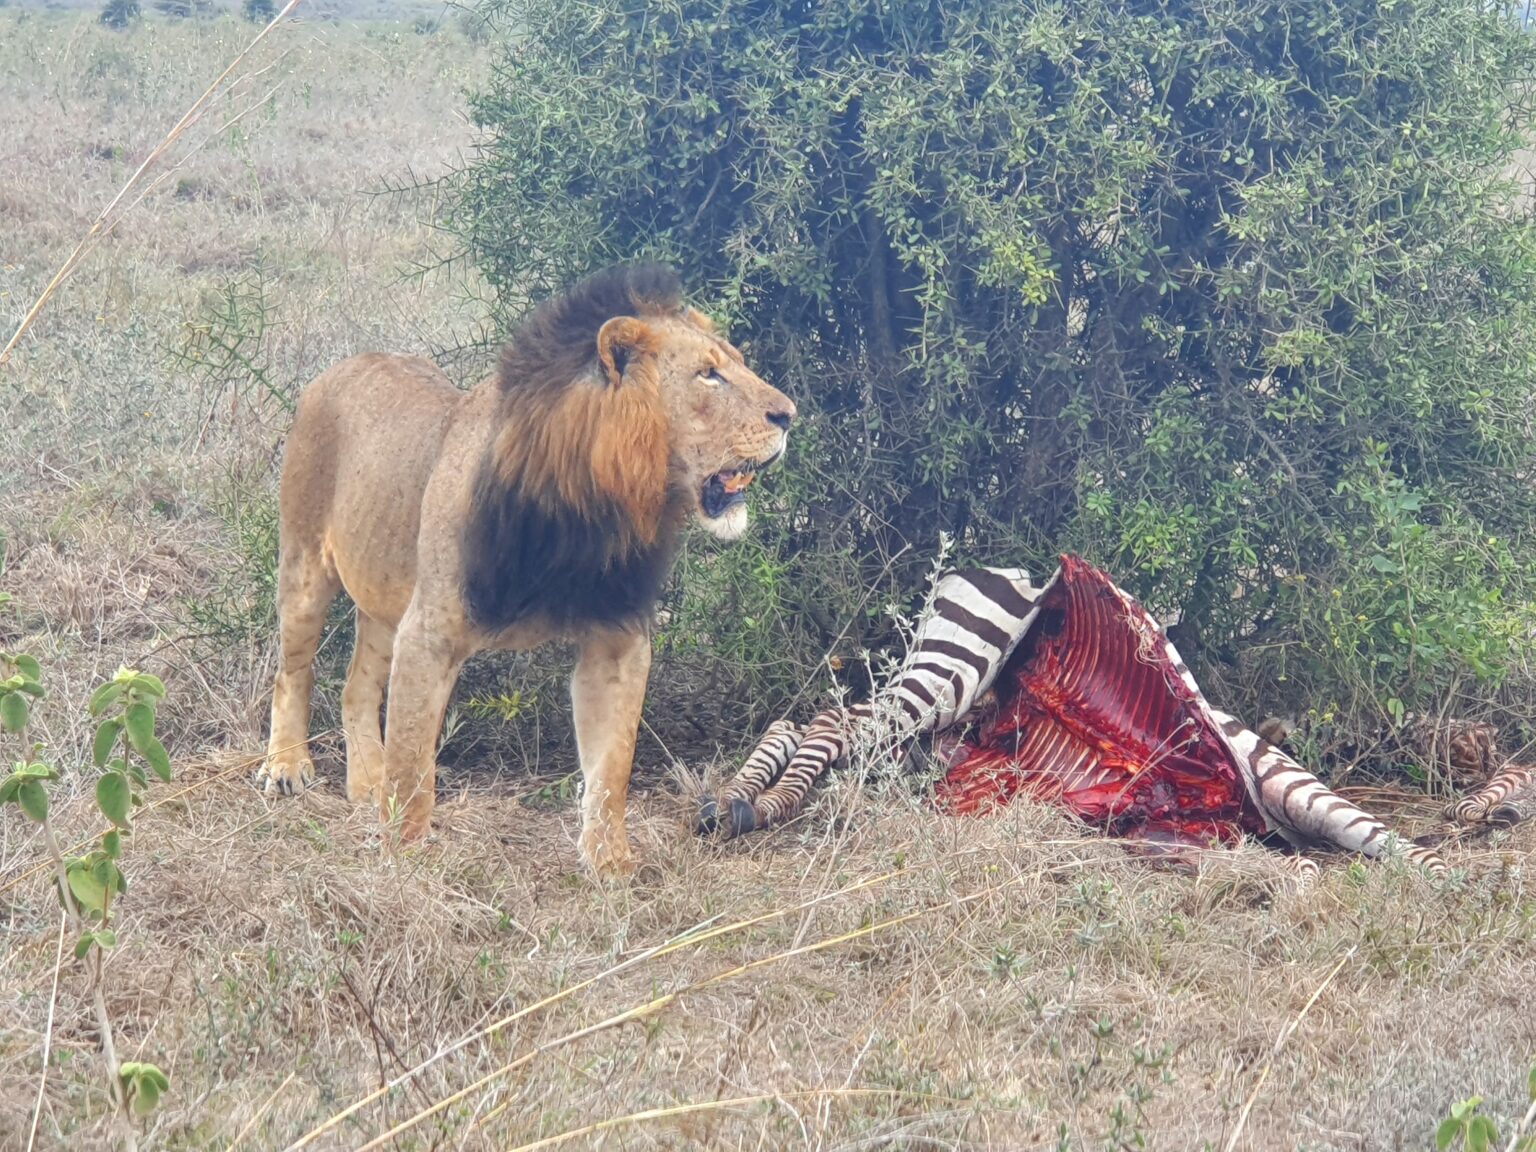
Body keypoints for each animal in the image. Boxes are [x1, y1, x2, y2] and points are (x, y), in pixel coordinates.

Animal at [257, 263, 795, 874]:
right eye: (708, 375)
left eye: (738, 363)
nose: (790, 415)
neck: (595, 508)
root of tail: (345, 364)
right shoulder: (430, 632)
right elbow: (413, 762)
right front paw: (404, 861)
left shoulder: (617, 640)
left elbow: (612, 766)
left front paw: (611, 865)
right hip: (305, 566)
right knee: (292, 671)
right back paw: (287, 768)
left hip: (383, 593)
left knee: (356, 686)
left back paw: (366, 786)